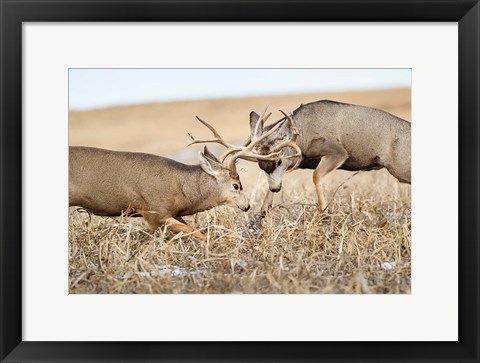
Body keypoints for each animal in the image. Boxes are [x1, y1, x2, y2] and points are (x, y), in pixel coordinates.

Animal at [69, 143, 249, 242]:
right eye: (236, 185)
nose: (247, 206)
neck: (181, 188)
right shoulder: (154, 212)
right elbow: (195, 232)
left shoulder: (173, 212)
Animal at [244, 100, 412, 216]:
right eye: (261, 166)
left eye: (278, 161)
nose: (275, 188)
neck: (303, 134)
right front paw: (263, 211)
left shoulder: (337, 152)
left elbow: (316, 175)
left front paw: (324, 211)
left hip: (401, 167)